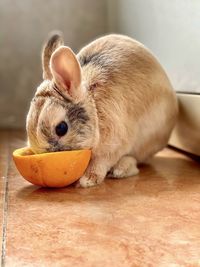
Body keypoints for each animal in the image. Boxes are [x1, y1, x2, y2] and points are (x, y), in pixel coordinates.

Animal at [26, 32, 178, 188]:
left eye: (61, 128)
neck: (95, 110)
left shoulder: (113, 147)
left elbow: (100, 163)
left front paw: (88, 180)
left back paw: (120, 170)